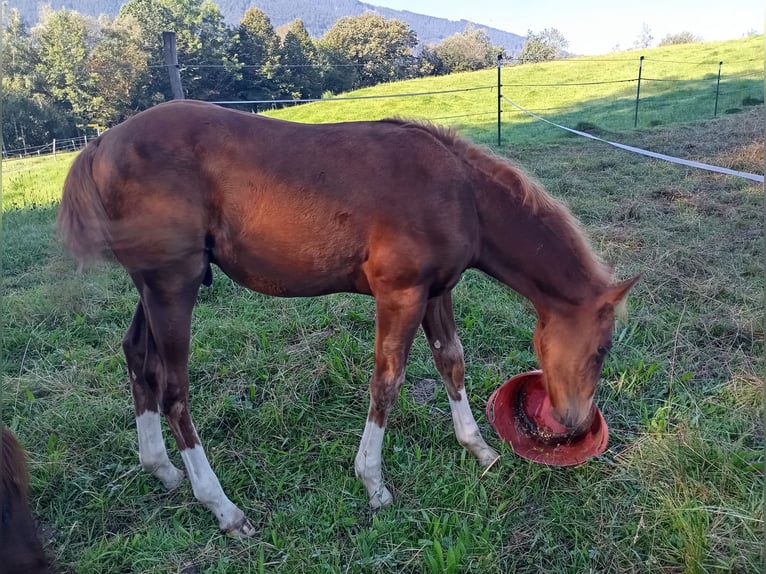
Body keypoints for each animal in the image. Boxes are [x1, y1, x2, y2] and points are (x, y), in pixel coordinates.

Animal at [57, 99, 638, 536]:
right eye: (602, 349)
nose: (573, 422)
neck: (459, 192)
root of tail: (101, 143)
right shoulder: (399, 295)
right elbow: (387, 381)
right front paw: (373, 483)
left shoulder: (436, 291)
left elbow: (451, 361)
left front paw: (480, 449)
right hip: (173, 287)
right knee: (175, 389)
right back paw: (223, 508)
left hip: (156, 287)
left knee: (138, 358)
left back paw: (161, 470)